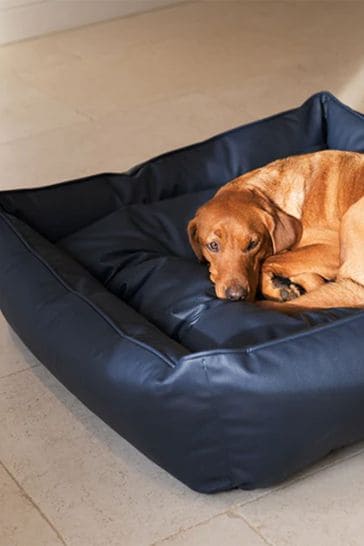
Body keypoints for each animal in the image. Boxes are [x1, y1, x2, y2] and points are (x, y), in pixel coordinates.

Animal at [189, 149, 364, 312]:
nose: (236, 296)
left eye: (253, 244)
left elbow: (268, 261)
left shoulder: (331, 248)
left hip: (351, 215)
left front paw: (273, 289)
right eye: (213, 245)